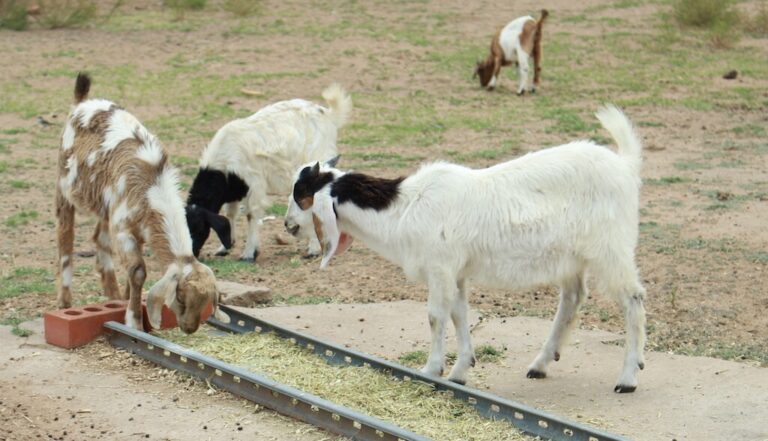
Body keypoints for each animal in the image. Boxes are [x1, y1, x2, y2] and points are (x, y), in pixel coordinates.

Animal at [56, 73, 228, 334]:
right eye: (180, 297)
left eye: (206, 301)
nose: (189, 328)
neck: (152, 188)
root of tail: (83, 103)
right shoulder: (124, 230)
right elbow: (137, 271)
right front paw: (134, 321)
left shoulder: (134, 228)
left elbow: (131, 271)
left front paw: (126, 301)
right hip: (64, 185)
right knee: (65, 235)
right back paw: (65, 300)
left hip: (106, 208)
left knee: (100, 238)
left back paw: (113, 294)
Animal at [186, 84, 354, 260]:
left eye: (198, 229)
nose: (192, 253)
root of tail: (328, 114)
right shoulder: (234, 189)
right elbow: (230, 213)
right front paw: (224, 247)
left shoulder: (254, 183)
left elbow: (251, 214)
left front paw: (249, 253)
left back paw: (314, 249)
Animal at [288, 105, 648, 392]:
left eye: (301, 195)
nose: (288, 226)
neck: (403, 208)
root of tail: (625, 165)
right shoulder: (456, 272)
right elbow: (459, 313)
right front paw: (461, 370)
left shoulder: (440, 267)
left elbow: (435, 316)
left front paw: (431, 369)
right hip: (572, 256)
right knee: (573, 297)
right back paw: (541, 363)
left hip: (611, 248)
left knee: (633, 299)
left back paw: (628, 377)